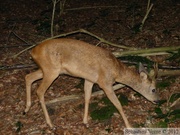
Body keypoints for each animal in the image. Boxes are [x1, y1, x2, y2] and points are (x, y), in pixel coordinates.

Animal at [23, 38, 159, 129]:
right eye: (153, 89)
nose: (157, 100)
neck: (116, 71)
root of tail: (32, 52)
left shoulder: (90, 79)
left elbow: (87, 97)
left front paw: (85, 122)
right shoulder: (105, 83)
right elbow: (118, 104)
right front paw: (129, 126)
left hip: (46, 69)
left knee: (28, 77)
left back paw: (26, 109)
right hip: (51, 70)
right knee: (39, 90)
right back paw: (50, 124)